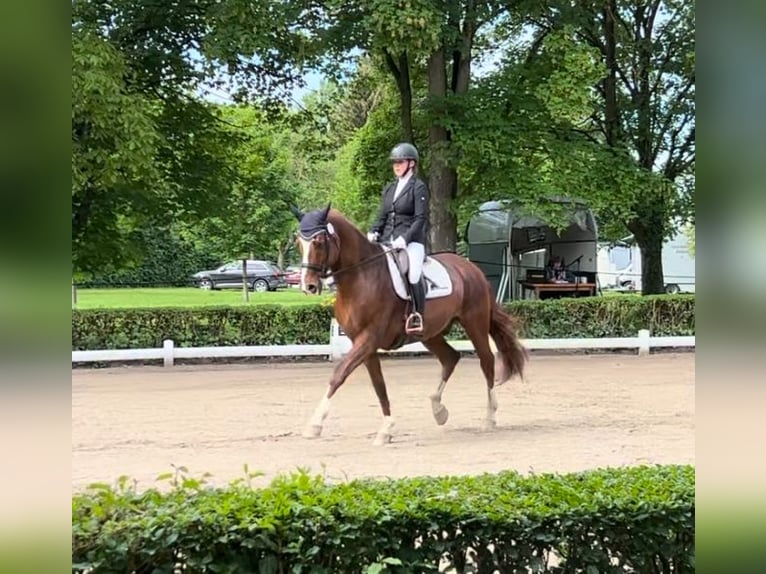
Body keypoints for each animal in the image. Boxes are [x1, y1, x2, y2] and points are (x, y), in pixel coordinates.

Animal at [294, 205, 528, 448]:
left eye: (319, 241)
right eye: (298, 242)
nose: (308, 286)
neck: (361, 277)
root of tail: (472, 268)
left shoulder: (368, 338)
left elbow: (339, 374)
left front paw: (314, 425)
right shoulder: (363, 343)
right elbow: (378, 384)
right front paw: (386, 429)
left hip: (474, 323)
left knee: (487, 361)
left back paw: (489, 417)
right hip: (430, 333)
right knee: (450, 358)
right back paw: (438, 410)